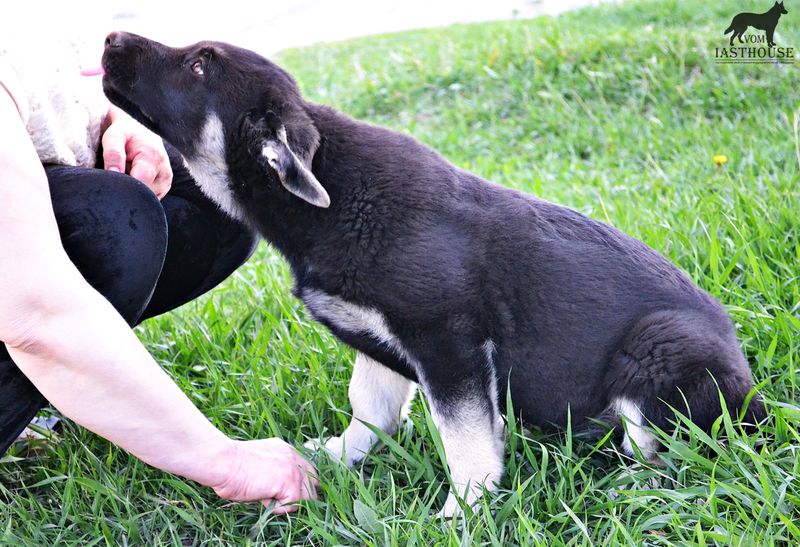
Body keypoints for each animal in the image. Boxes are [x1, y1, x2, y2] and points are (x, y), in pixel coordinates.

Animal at [101, 32, 764, 516]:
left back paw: (634, 488)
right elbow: (369, 407)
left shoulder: (449, 340)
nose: (109, 37)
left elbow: (464, 436)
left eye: (198, 67)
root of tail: (753, 396)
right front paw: (336, 456)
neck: (329, 200)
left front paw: (464, 510)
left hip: (657, 348)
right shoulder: (377, 339)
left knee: (668, 450)